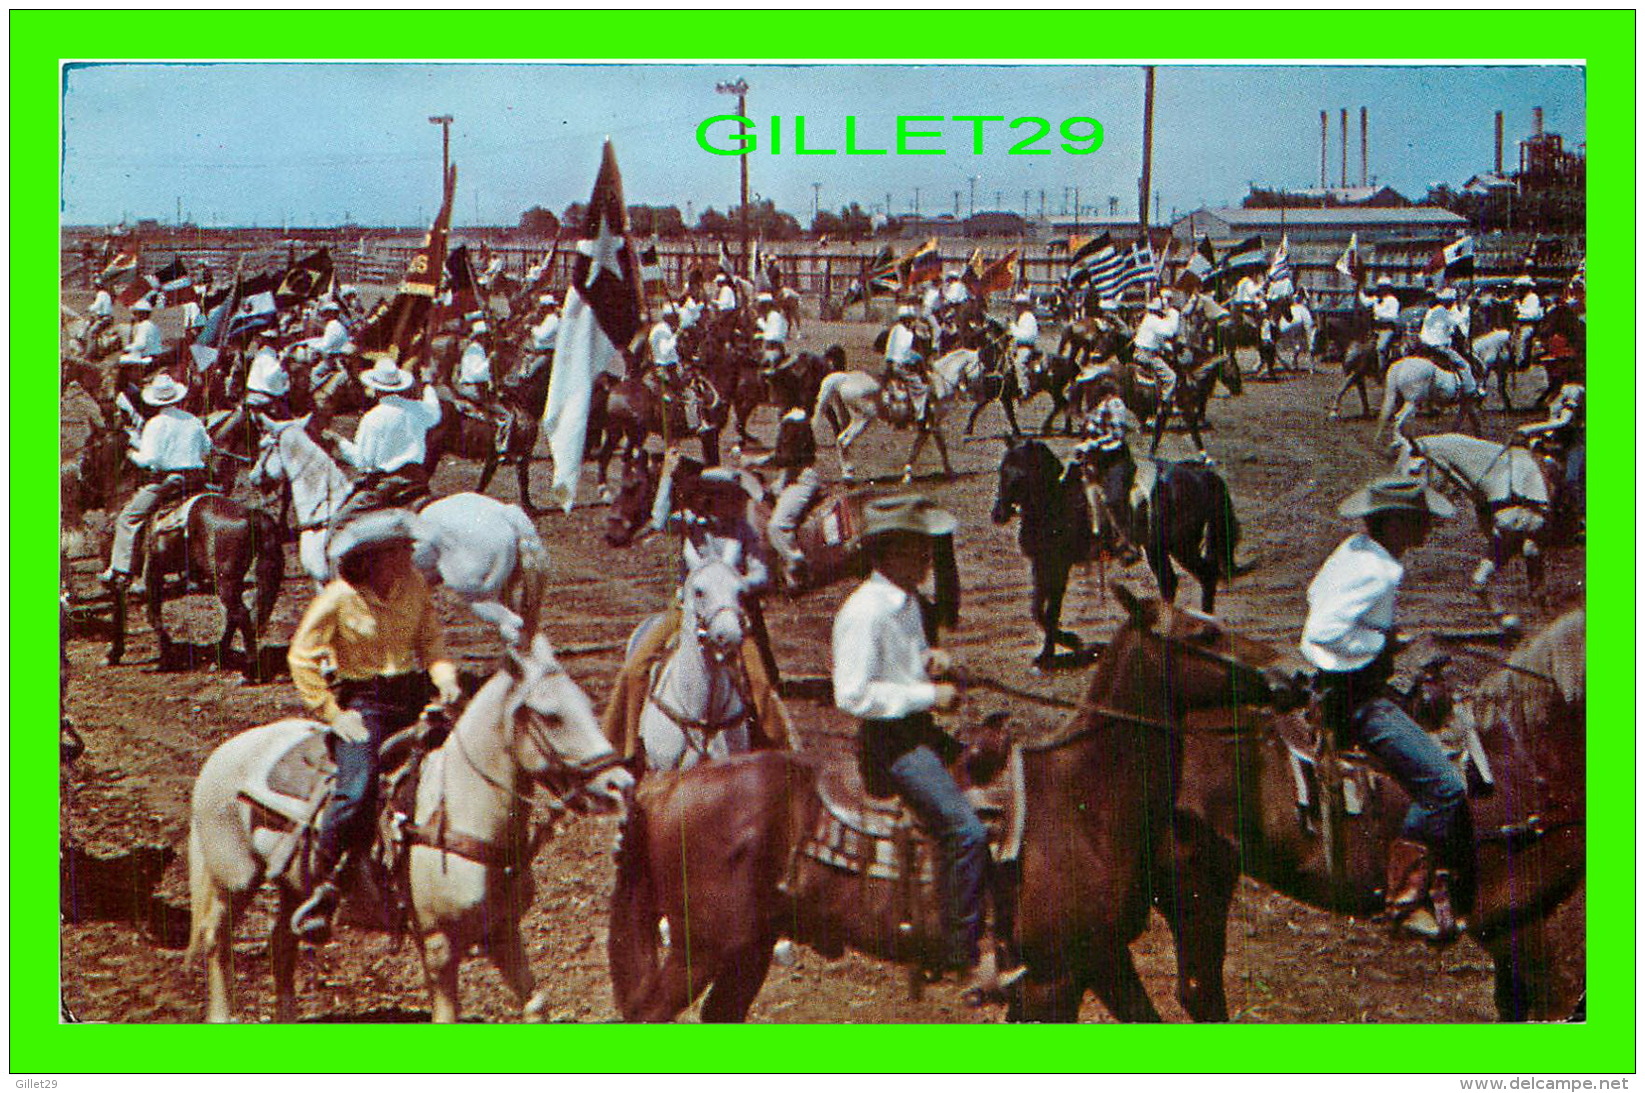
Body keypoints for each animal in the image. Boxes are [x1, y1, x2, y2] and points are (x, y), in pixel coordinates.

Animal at [185, 632, 634, 1027]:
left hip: (293, 884)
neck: (458, 809)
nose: (621, 785)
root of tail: (224, 753)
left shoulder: (503, 930)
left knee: (282, 945)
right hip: (233, 880)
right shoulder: (439, 944)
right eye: (550, 715)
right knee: (216, 942)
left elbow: (535, 1003)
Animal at [246, 416, 549, 641]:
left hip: (479, 595)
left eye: (262, 445)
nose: (253, 477)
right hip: (507, 588)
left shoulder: (323, 582)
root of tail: (505, 513)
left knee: (514, 629)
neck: (326, 503)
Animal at [812, 345, 973, 483]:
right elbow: (940, 447)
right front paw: (950, 473)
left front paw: (907, 475)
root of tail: (844, 378)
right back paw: (848, 475)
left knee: (840, 440)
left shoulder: (927, 426)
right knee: (843, 441)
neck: (940, 382)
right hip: (862, 419)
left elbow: (918, 448)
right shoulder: (934, 423)